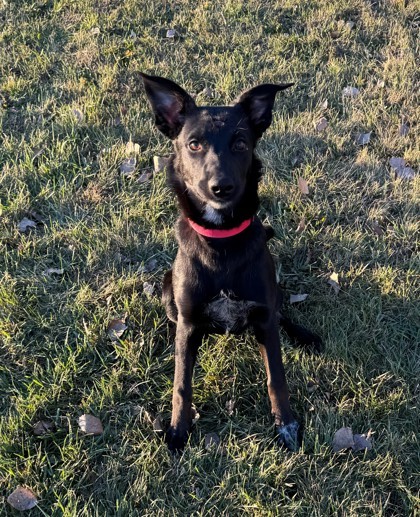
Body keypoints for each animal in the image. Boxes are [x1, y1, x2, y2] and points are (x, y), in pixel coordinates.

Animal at [139, 72, 320, 452]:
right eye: (193, 144)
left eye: (240, 143)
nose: (221, 187)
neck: (220, 242)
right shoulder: (190, 320)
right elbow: (181, 383)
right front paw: (178, 430)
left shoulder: (263, 316)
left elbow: (276, 378)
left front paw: (286, 424)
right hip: (167, 289)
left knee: (281, 315)